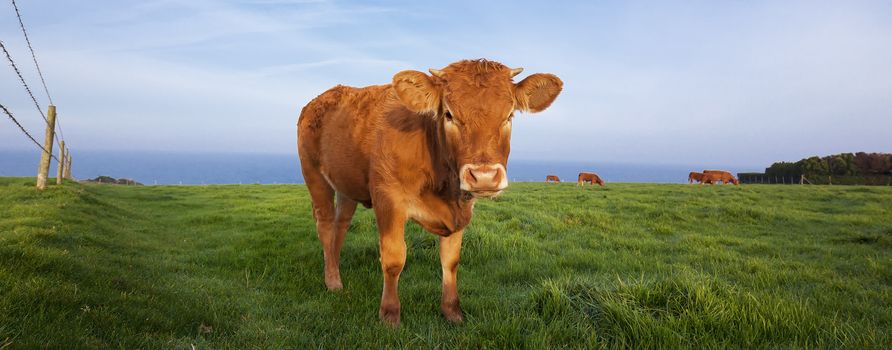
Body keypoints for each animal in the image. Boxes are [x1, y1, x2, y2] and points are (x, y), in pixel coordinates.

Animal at [300, 58, 564, 326]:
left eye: (509, 116)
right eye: (449, 114)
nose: (484, 176)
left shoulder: (459, 211)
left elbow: (451, 260)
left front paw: (452, 311)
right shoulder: (388, 198)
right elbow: (394, 259)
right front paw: (390, 315)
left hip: (346, 185)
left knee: (340, 226)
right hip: (313, 174)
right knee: (325, 225)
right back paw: (332, 281)